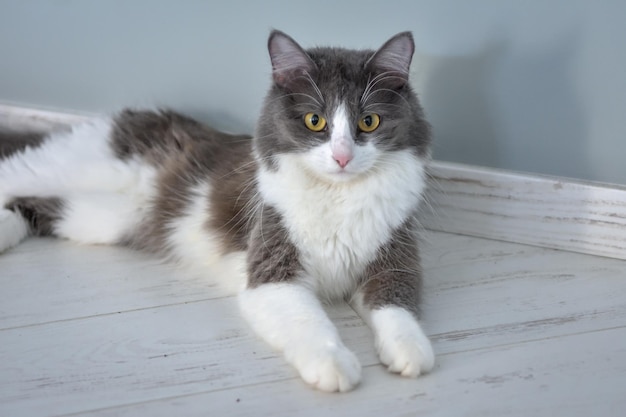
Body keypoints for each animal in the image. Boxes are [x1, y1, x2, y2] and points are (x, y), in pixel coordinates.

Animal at [0, 30, 432, 392]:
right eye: (315, 121)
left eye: (369, 121)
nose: (342, 157)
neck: (338, 195)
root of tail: (121, 117)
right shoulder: (273, 272)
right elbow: (311, 323)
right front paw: (335, 366)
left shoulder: (393, 260)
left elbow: (398, 308)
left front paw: (412, 351)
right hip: (70, 170)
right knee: (14, 174)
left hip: (104, 218)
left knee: (34, 206)